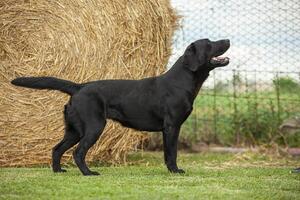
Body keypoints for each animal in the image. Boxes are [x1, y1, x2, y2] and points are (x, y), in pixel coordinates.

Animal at [11, 38, 230, 175]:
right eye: (209, 43)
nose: (227, 40)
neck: (182, 80)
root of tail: (79, 87)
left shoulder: (169, 128)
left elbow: (167, 154)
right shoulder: (171, 127)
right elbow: (172, 153)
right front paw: (175, 171)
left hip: (73, 130)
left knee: (57, 149)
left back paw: (58, 171)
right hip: (94, 126)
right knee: (78, 152)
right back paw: (89, 173)